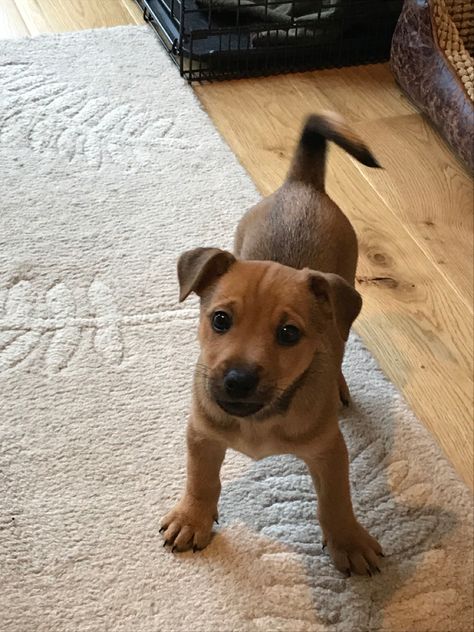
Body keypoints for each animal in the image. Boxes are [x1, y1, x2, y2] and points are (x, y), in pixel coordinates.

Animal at [161, 111, 384, 576]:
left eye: (289, 334)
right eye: (220, 320)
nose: (237, 380)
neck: (259, 419)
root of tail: (302, 185)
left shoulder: (329, 451)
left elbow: (336, 500)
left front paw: (349, 540)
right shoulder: (202, 434)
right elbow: (201, 480)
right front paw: (192, 518)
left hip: (348, 287)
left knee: (340, 339)